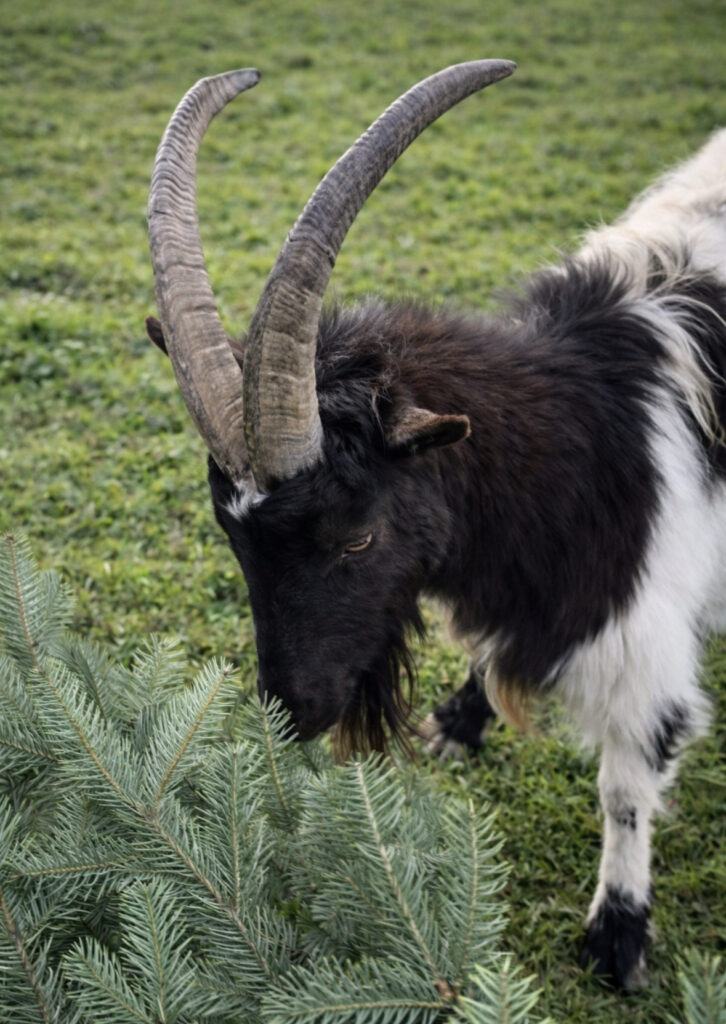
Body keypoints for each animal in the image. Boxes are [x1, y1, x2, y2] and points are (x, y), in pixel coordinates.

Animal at [146, 62, 726, 991]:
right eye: (235, 543)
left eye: (356, 537)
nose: (293, 713)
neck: (592, 434)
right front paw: (458, 722)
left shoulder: (645, 642)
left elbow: (627, 787)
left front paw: (618, 938)